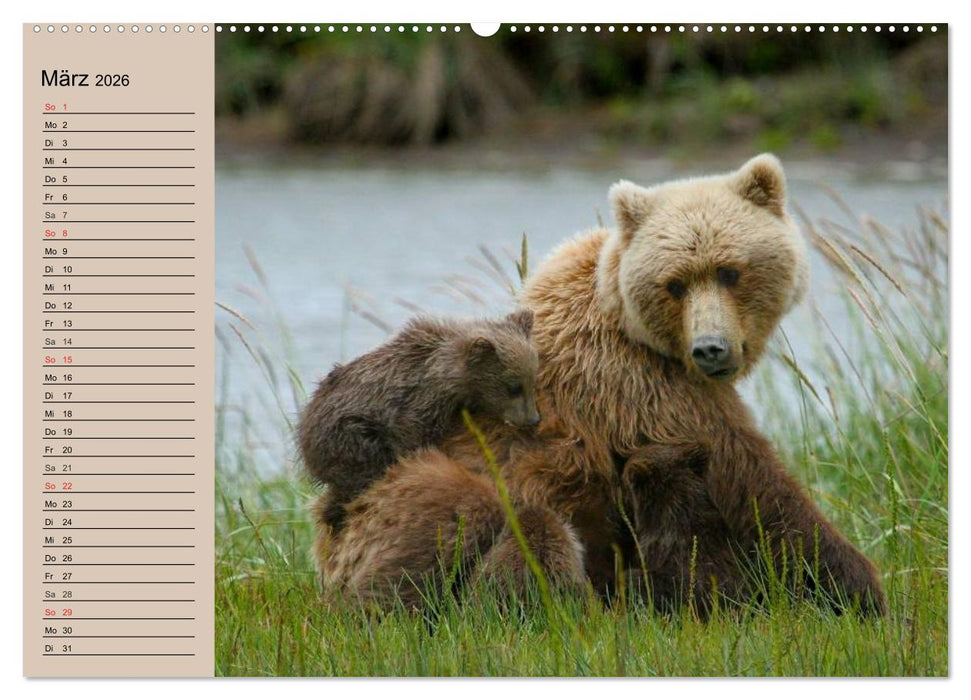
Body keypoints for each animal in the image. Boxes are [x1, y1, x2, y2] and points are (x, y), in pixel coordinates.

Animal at [297, 309, 540, 533]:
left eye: (532, 381)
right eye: (513, 387)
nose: (533, 419)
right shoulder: (415, 404)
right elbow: (412, 437)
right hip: (349, 435)